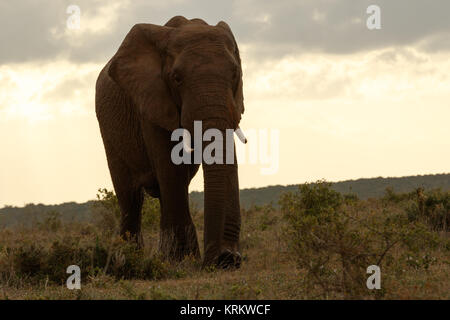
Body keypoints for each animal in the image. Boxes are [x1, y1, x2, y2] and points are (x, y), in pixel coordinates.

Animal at [92, 16, 244, 268]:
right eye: (177, 78)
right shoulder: (150, 101)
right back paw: (129, 260)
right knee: (131, 198)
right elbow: (170, 165)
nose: (221, 259)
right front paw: (181, 259)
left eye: (235, 74)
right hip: (108, 129)